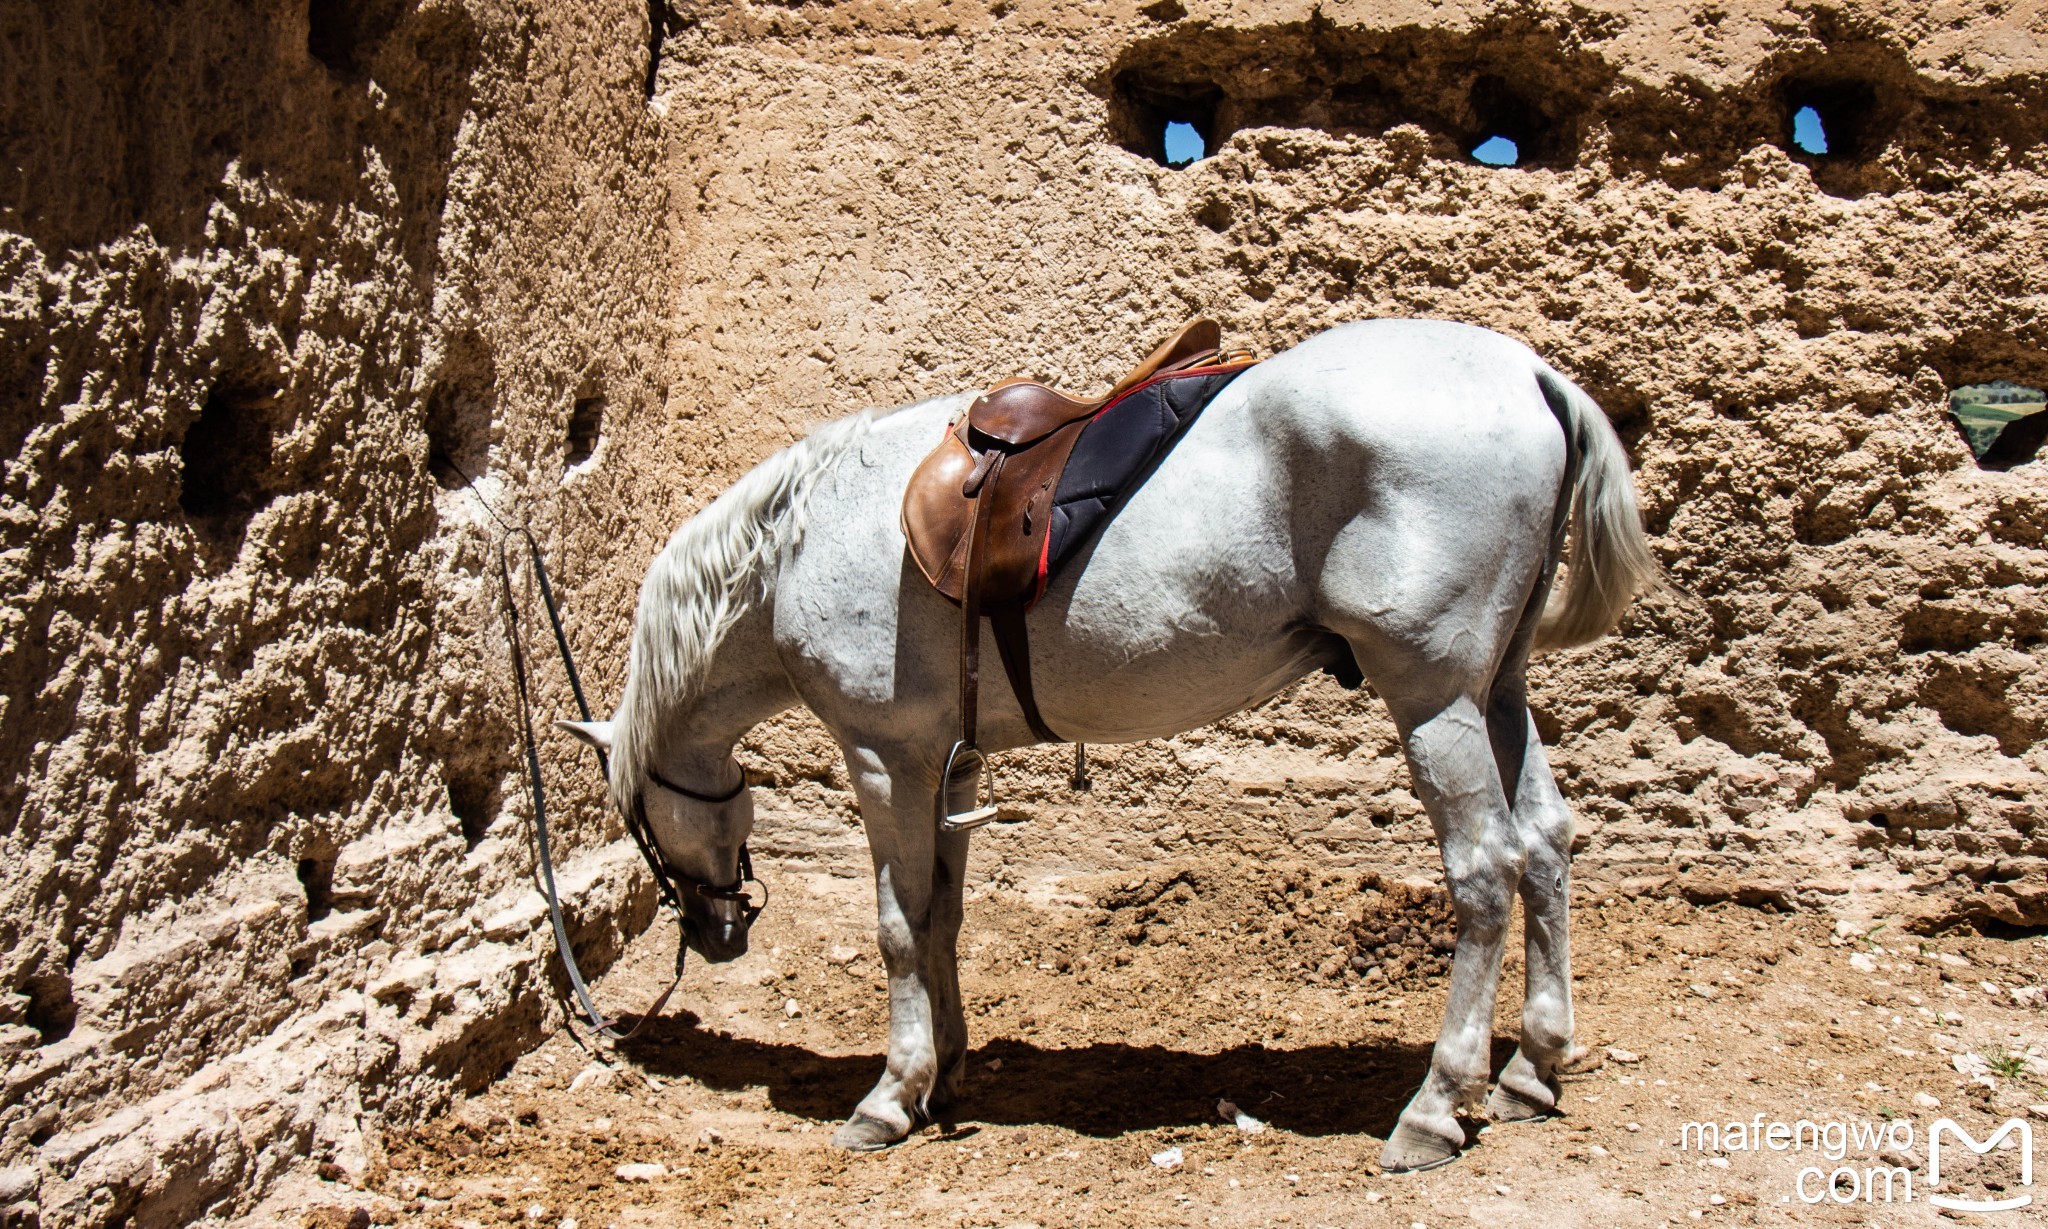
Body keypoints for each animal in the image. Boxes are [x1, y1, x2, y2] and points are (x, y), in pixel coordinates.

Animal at [561, 319, 1662, 1171]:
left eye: (638, 815)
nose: (718, 932)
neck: (800, 536)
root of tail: (1528, 372)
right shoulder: (954, 759)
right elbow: (942, 917)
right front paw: (944, 1072)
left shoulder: (884, 757)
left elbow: (896, 926)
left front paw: (888, 1095)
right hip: (1497, 690)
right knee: (1547, 844)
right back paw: (1530, 1069)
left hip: (1434, 697)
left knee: (1485, 870)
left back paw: (1435, 1106)